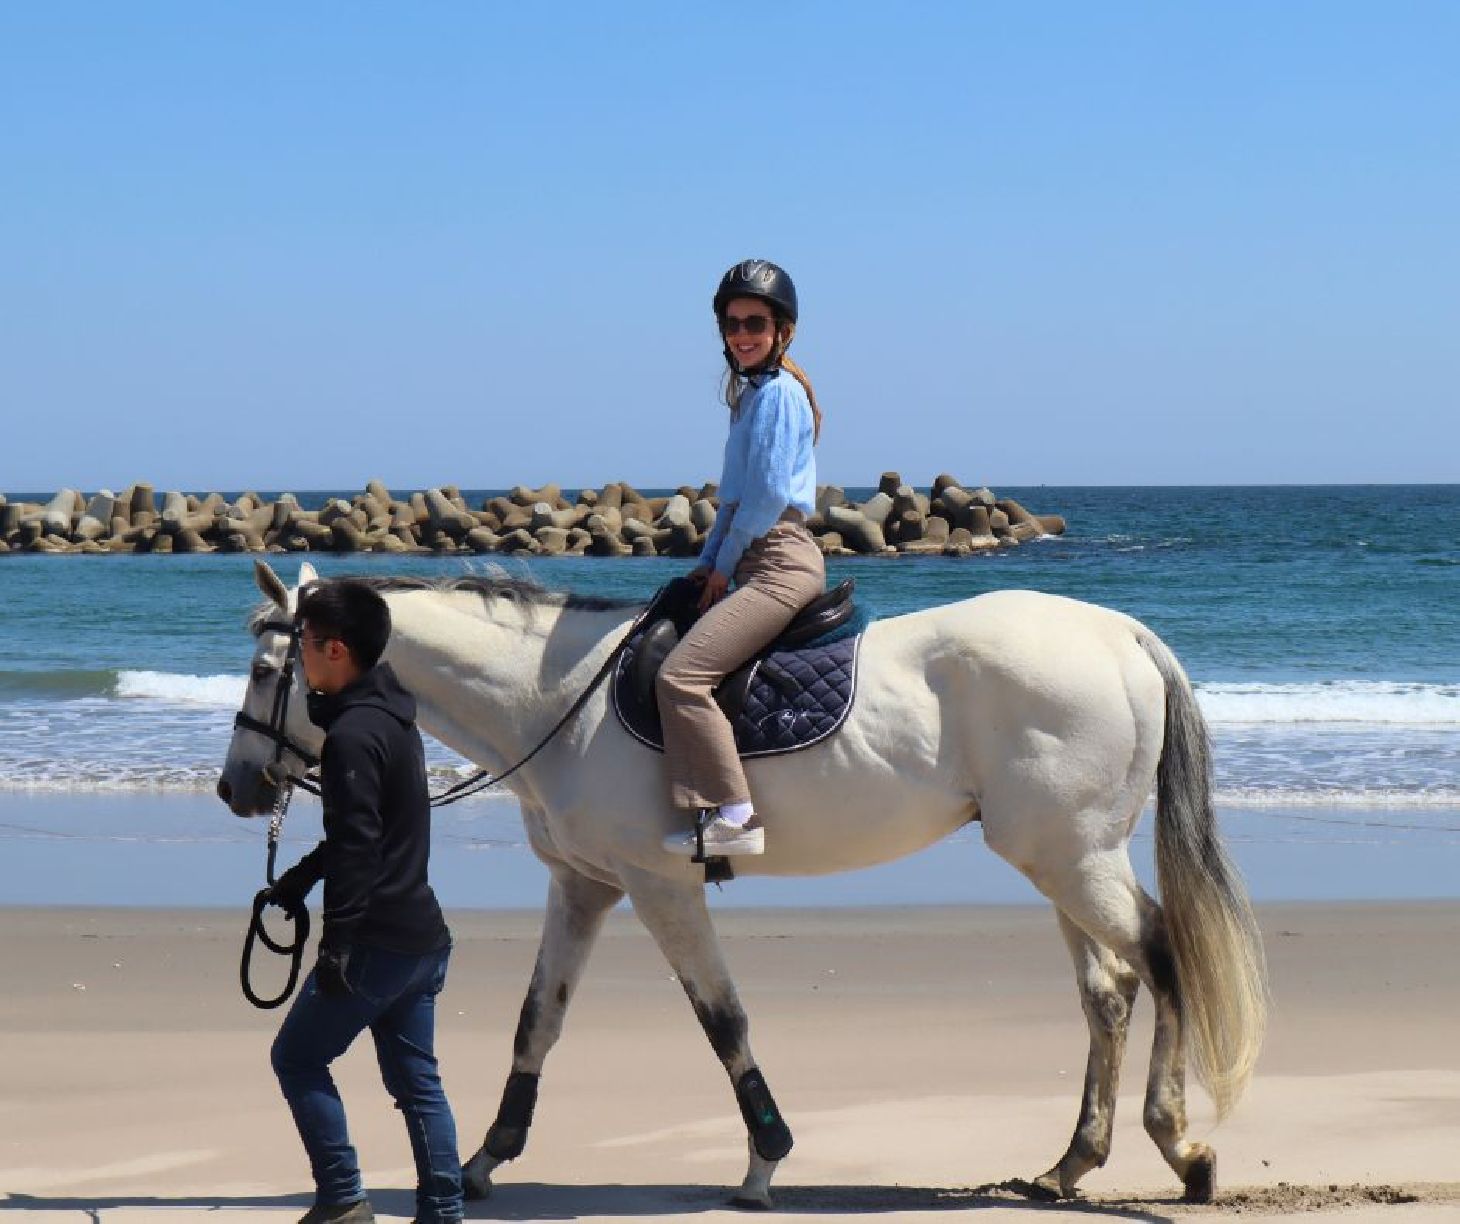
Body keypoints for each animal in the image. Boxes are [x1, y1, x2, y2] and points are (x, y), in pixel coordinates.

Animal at [219, 563, 1267, 1209]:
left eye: (270, 669)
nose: (237, 789)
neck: (559, 700)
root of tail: (1120, 634)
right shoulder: (584, 888)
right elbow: (537, 1022)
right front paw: (485, 1159)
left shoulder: (659, 888)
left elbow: (722, 1020)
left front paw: (765, 1163)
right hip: (1065, 860)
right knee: (1109, 991)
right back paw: (1072, 1162)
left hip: (1072, 859)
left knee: (1160, 956)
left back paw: (1180, 1147)